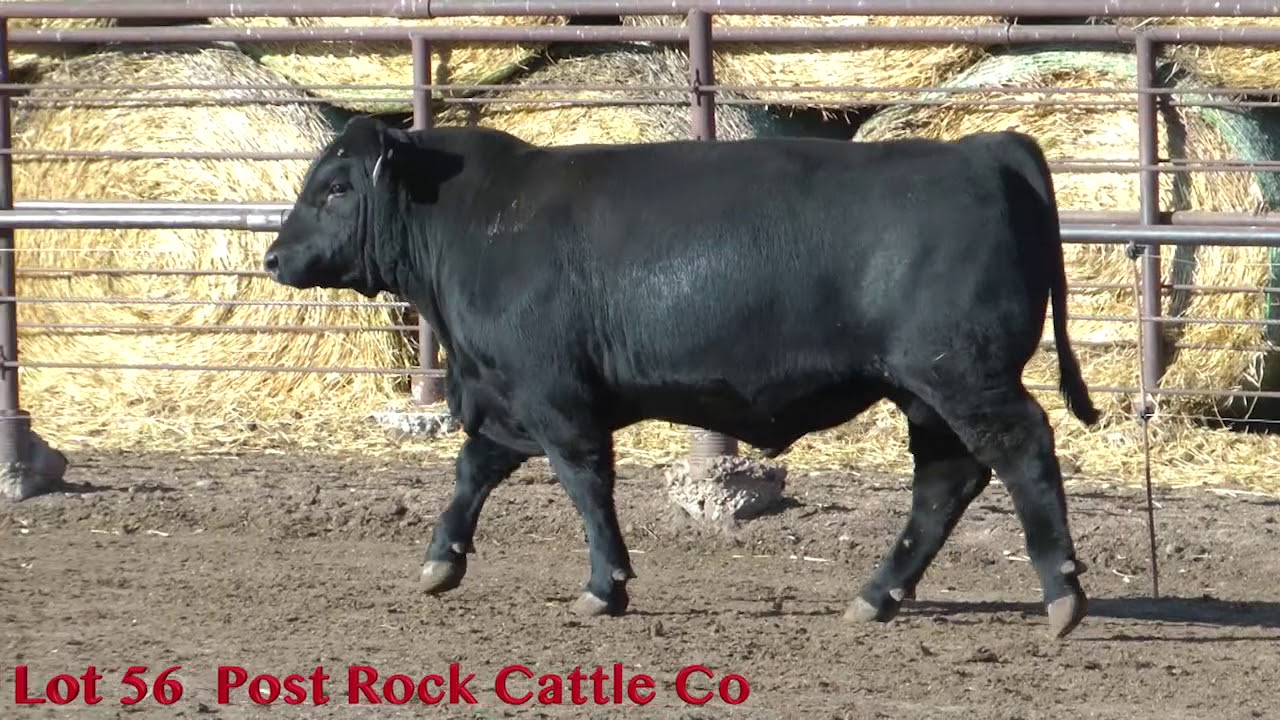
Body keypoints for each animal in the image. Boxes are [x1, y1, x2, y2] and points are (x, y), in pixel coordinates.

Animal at [263, 114, 1099, 639]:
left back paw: (1062, 590)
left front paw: (605, 585)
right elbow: (474, 469)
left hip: (963, 376)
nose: (273, 257)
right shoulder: (508, 395)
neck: (476, 221)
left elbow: (585, 484)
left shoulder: (554, 396)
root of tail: (983, 148)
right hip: (926, 393)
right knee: (946, 481)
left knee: (1022, 450)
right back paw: (877, 595)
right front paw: (442, 560)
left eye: (336, 186)